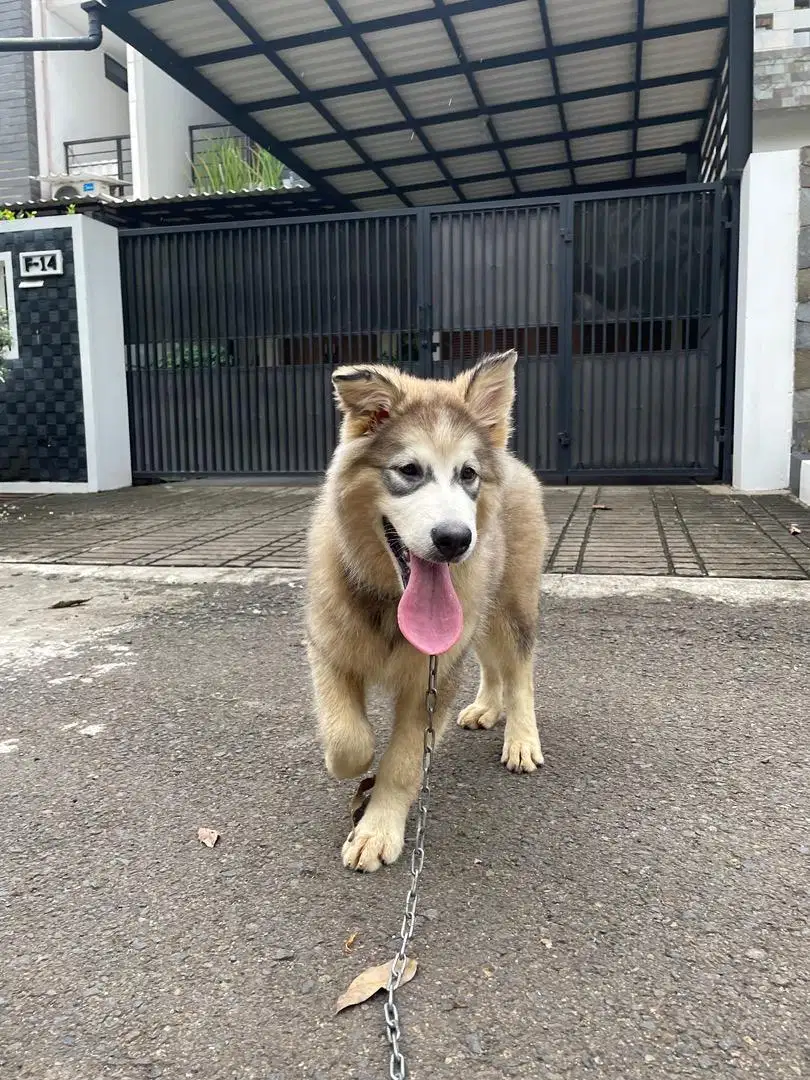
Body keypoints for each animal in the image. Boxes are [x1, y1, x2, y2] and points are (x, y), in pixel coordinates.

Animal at [306, 349, 552, 872]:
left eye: (468, 474)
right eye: (409, 470)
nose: (456, 540)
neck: (390, 603)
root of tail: (512, 459)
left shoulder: (429, 683)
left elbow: (401, 763)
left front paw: (376, 828)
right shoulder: (328, 649)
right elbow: (346, 739)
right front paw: (359, 768)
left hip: (511, 605)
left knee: (519, 669)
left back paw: (520, 736)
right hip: (477, 613)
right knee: (490, 662)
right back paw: (485, 707)